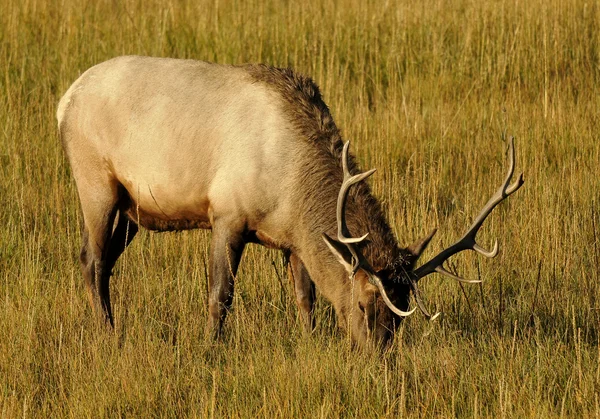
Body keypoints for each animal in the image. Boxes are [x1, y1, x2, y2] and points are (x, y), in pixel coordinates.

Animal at [57, 55, 524, 348]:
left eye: (401, 311)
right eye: (362, 303)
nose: (380, 357)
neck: (292, 186)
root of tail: (64, 100)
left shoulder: (293, 239)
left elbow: (306, 297)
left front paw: (311, 343)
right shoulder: (227, 213)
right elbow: (220, 294)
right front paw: (210, 349)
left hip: (133, 208)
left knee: (103, 261)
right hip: (95, 181)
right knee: (92, 259)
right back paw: (110, 335)